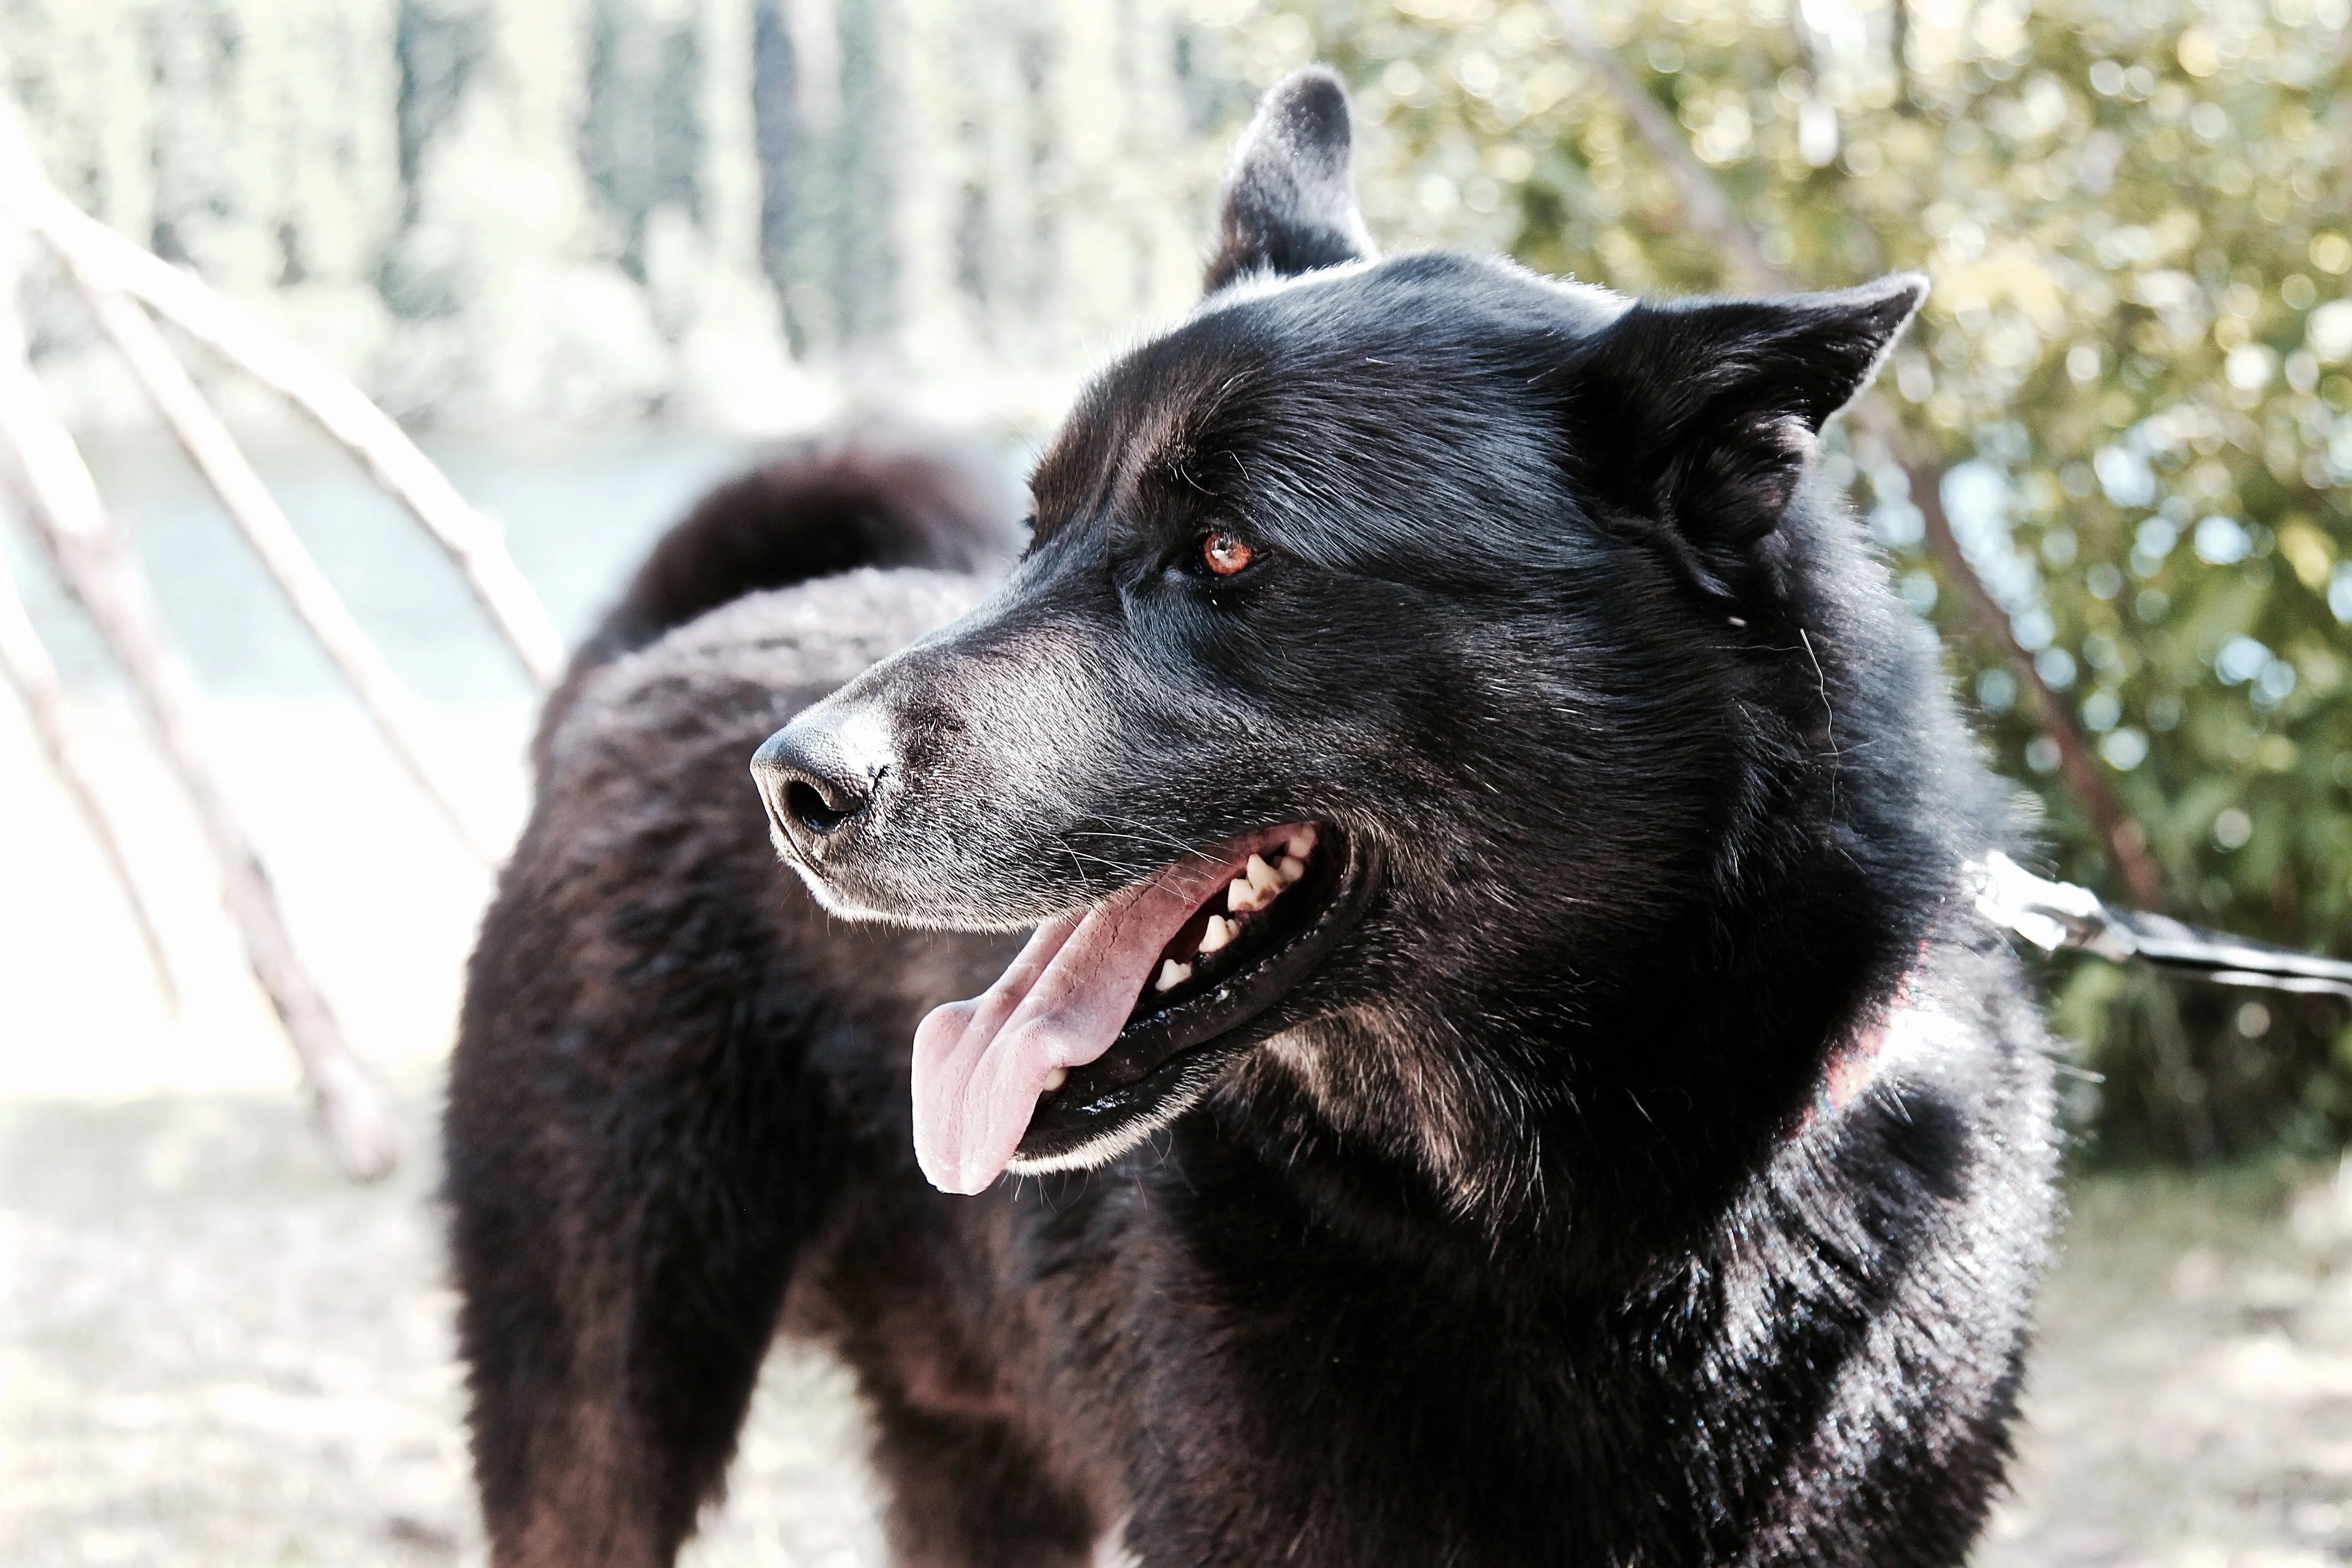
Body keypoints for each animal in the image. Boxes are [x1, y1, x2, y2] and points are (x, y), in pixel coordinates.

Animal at [444, 64, 2060, 1568]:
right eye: (1038, 528)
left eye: (1224, 551)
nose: (791, 786)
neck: (1585, 1236)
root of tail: (653, 657)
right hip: (601, 1425)